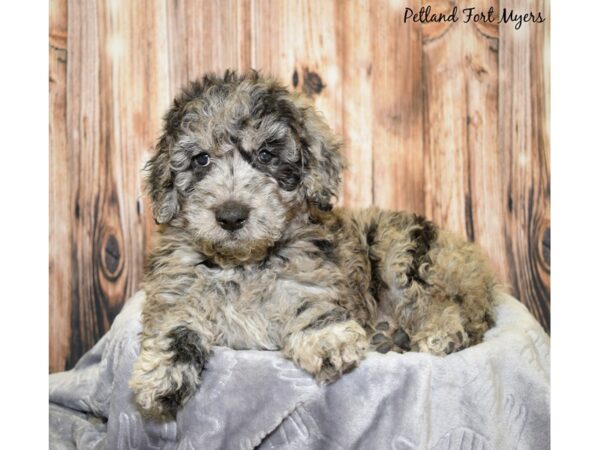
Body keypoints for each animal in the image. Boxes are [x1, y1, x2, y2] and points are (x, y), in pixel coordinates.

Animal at [130, 71, 496, 418]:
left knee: (457, 311)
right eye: (201, 159)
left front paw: (326, 338)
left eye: (266, 155)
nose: (231, 215)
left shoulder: (311, 273)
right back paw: (389, 335)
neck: (243, 263)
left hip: (404, 254)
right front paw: (161, 376)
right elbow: (174, 327)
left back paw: (439, 334)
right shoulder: (176, 290)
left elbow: (311, 302)